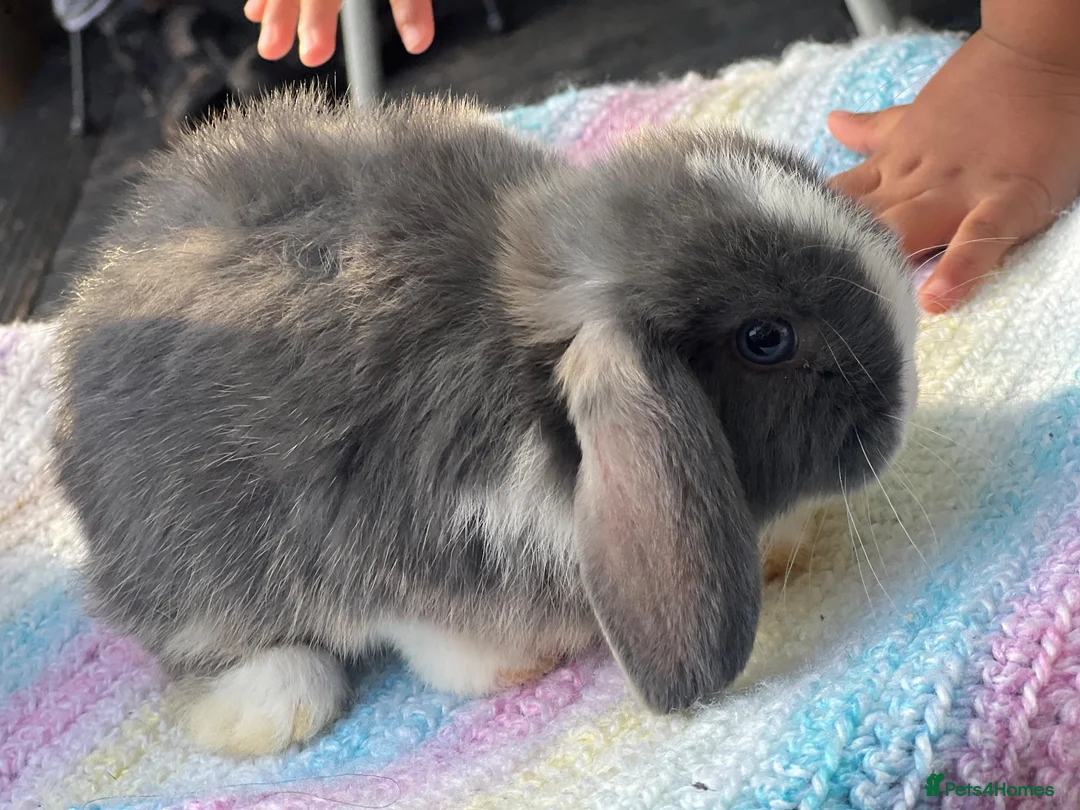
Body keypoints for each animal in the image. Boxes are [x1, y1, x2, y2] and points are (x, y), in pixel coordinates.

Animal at [50, 88, 920, 758]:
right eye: (766, 339)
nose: (907, 391)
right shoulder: (385, 540)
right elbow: (429, 635)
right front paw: (515, 667)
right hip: (187, 559)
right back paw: (277, 706)